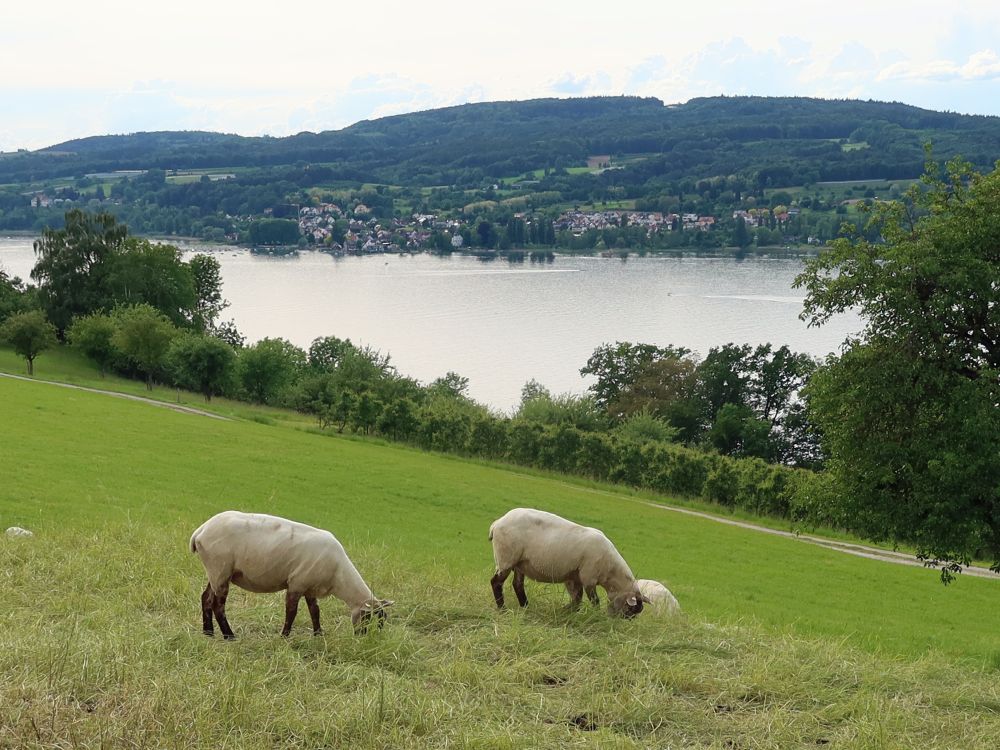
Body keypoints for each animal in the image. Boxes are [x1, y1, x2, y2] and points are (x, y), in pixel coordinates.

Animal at [189, 512, 392, 640]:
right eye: (370, 619)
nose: (366, 640)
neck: (339, 577)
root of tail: (200, 531)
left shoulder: (310, 587)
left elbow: (315, 611)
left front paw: (318, 634)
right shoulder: (296, 583)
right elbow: (291, 612)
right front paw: (284, 636)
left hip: (216, 572)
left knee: (206, 598)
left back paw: (208, 632)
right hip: (220, 568)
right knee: (218, 605)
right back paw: (229, 635)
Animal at [486, 508, 648, 620]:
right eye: (630, 610)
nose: (618, 621)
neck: (611, 572)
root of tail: (497, 523)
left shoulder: (574, 577)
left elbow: (577, 600)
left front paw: (566, 612)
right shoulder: (588, 577)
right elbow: (594, 601)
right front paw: (593, 615)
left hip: (520, 563)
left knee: (517, 584)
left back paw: (526, 606)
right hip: (506, 558)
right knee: (496, 582)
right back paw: (503, 608)